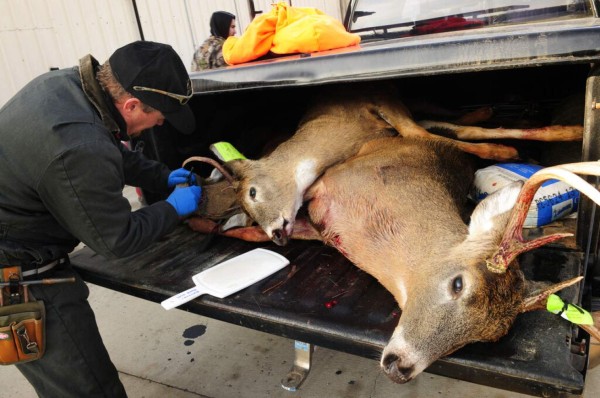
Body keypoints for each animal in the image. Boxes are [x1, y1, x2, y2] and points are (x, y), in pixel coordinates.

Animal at [221, 84, 580, 246]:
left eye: (252, 192)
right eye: (249, 214)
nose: (275, 235)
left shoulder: (381, 98)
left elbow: (427, 132)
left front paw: (514, 146)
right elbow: (437, 133)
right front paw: (507, 148)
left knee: (442, 111)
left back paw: (489, 113)